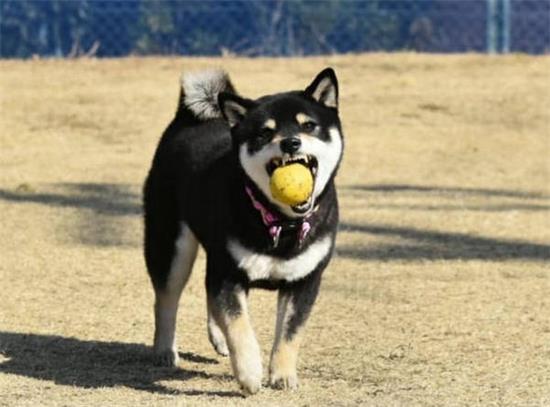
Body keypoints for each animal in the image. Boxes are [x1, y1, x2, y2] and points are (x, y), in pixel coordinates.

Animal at [142, 68, 344, 396]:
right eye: (264, 133)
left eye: (309, 125)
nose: (291, 143)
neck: (281, 221)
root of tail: (187, 118)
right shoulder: (229, 274)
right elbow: (240, 328)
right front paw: (250, 374)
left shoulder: (304, 280)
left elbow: (290, 333)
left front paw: (283, 375)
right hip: (172, 245)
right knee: (166, 299)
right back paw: (164, 350)